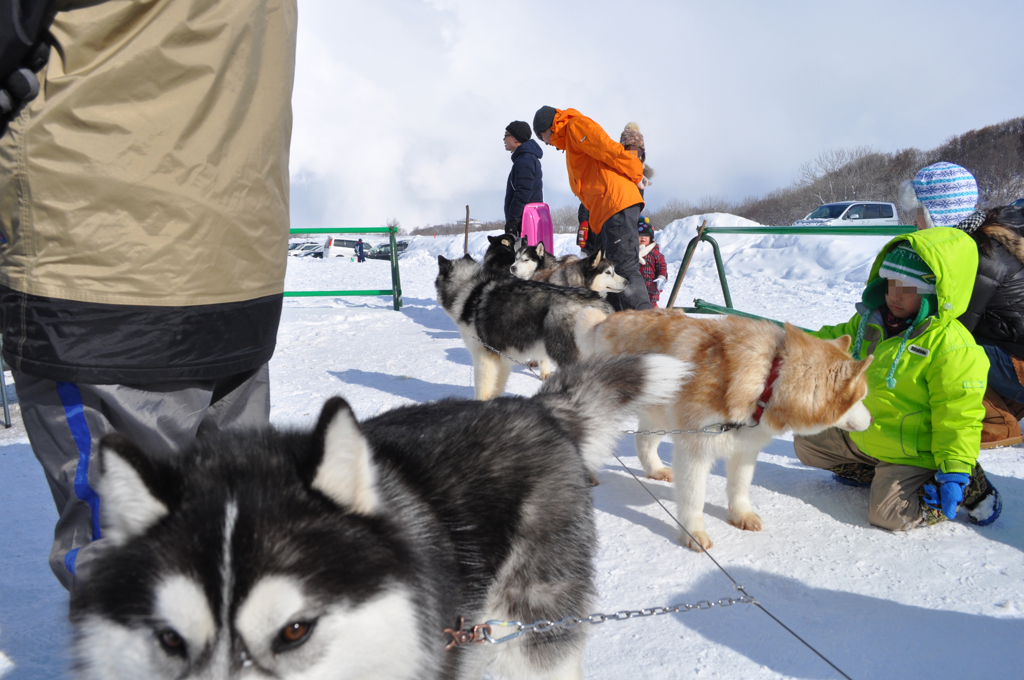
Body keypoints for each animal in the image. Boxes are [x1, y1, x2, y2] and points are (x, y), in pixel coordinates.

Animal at [577, 311, 872, 548]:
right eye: (860, 397)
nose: (871, 421)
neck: (768, 380)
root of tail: (605, 321)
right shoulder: (694, 452)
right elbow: (694, 499)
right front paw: (693, 533)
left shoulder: (745, 449)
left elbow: (739, 487)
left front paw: (741, 515)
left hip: (658, 414)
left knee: (643, 441)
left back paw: (655, 470)